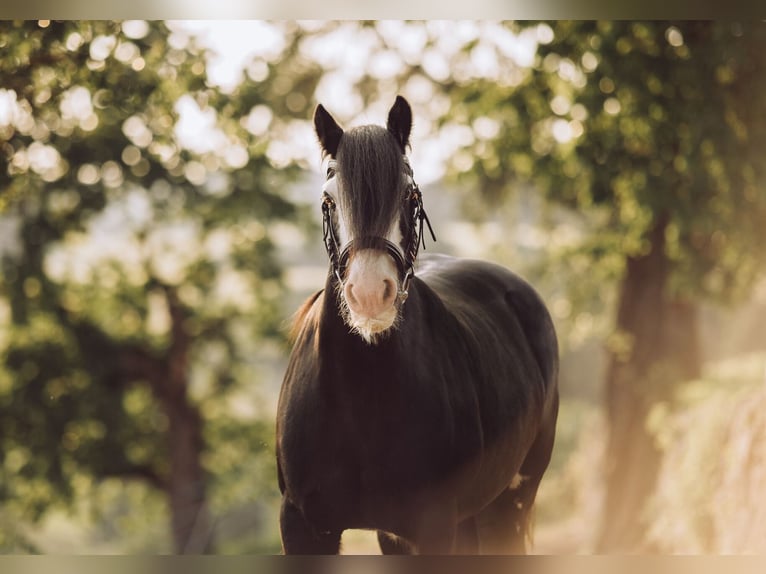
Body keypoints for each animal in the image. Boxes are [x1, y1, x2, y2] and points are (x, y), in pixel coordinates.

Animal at [276, 96, 559, 554]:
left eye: (410, 196)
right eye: (328, 202)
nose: (370, 294)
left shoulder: (433, 526)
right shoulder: (302, 526)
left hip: (510, 503)